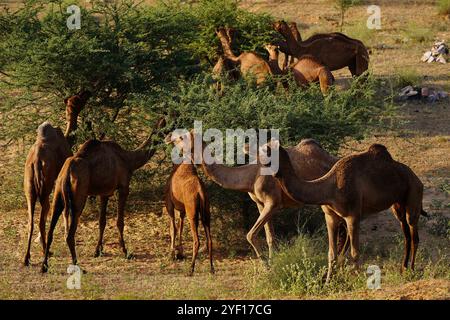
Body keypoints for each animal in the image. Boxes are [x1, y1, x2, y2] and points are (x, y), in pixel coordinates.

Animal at [22, 91, 91, 266]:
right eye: (79, 99)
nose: (87, 92)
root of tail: (36, 162)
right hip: (44, 187)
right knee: (41, 217)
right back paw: (45, 251)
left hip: (29, 188)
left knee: (31, 220)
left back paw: (27, 258)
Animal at [40, 116, 167, 272]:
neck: (129, 159)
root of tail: (67, 173)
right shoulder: (124, 187)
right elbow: (119, 221)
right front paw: (126, 252)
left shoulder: (104, 193)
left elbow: (102, 221)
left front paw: (98, 251)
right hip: (79, 195)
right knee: (70, 234)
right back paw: (78, 266)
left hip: (58, 193)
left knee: (51, 230)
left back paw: (44, 266)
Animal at [165, 130, 348, 262]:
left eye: (181, 137)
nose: (167, 137)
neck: (250, 176)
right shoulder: (260, 203)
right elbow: (270, 237)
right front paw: (272, 264)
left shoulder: (273, 202)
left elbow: (250, 235)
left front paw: (266, 265)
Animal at [258, 141, 428, 282]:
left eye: (267, 152)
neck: (329, 188)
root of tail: (417, 179)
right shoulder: (330, 217)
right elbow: (331, 253)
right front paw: (327, 283)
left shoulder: (353, 216)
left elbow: (354, 252)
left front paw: (357, 280)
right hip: (397, 204)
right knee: (406, 234)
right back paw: (403, 269)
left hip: (414, 194)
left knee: (414, 234)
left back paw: (412, 270)